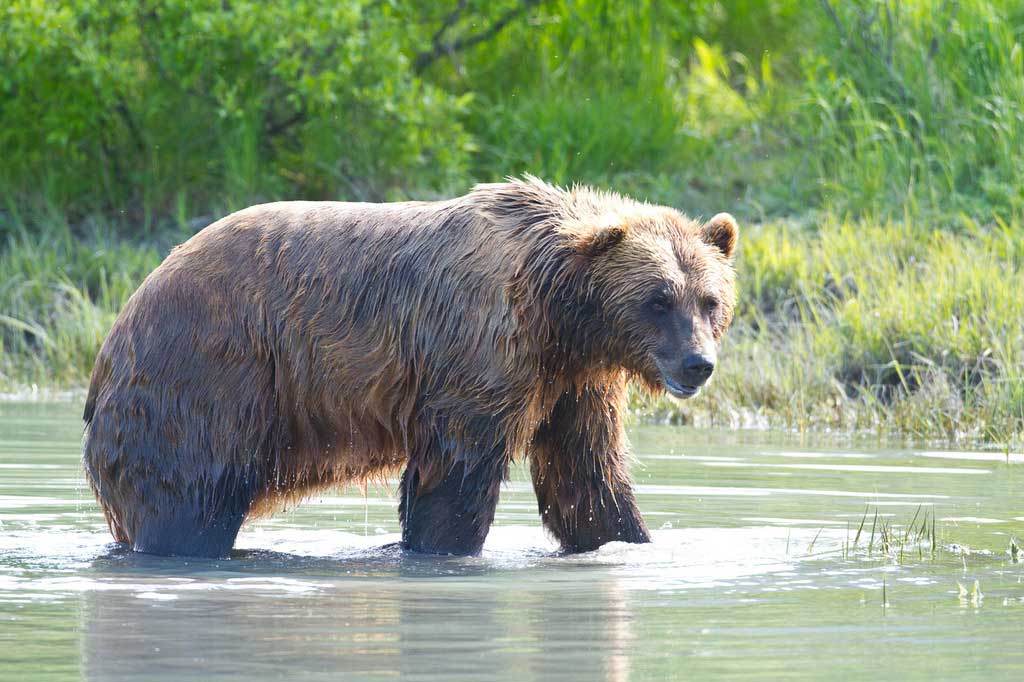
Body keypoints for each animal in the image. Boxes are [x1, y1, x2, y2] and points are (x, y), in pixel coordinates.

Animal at [79, 178, 737, 557]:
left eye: (709, 300)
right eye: (657, 299)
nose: (697, 364)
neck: (560, 311)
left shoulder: (573, 380)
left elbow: (586, 474)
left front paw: (628, 538)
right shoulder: (481, 348)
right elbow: (456, 473)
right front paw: (443, 548)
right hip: (205, 384)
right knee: (189, 506)